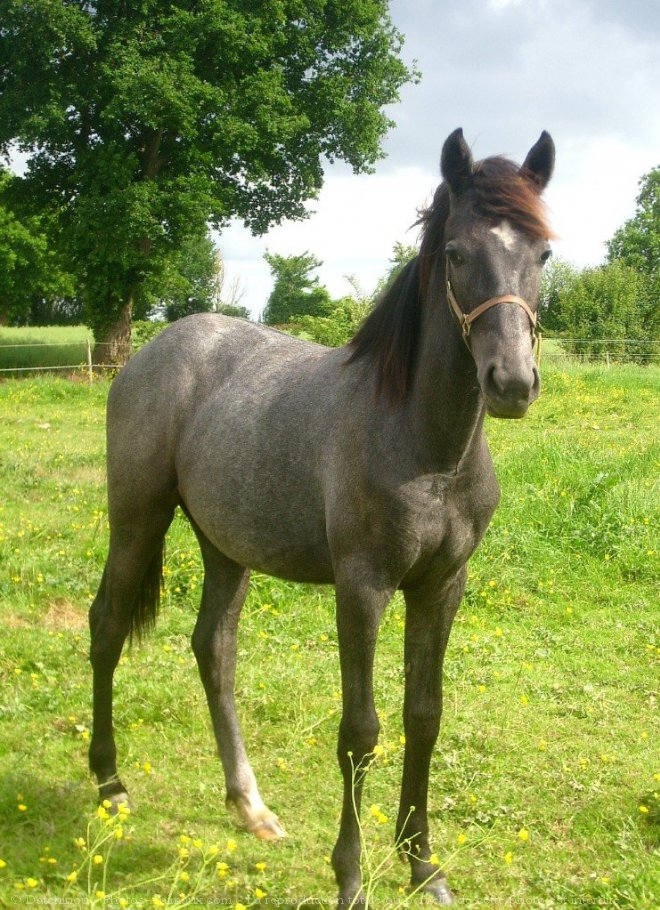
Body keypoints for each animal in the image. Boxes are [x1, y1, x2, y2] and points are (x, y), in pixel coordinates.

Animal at [86, 126, 552, 904]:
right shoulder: (362, 588)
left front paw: (423, 866)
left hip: (224, 545)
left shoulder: (442, 586)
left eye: (543, 253)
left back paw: (250, 806)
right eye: (457, 253)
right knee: (107, 626)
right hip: (138, 518)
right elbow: (360, 730)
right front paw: (352, 878)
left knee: (214, 650)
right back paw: (110, 784)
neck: (427, 449)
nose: (512, 382)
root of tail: (156, 348)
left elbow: (424, 716)